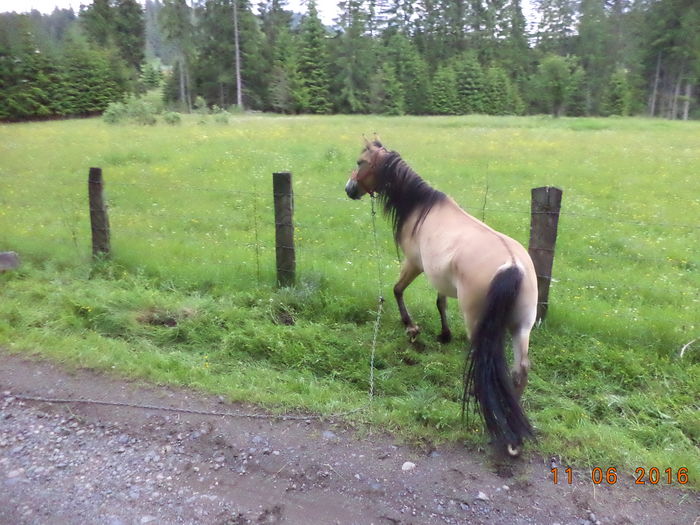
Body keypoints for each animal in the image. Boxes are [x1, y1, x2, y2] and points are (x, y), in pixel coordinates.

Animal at [344, 138, 536, 454]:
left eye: (361, 162)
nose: (349, 188)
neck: (422, 207)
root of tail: (512, 265)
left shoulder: (415, 264)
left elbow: (397, 290)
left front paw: (411, 328)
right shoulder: (441, 278)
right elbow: (440, 302)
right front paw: (444, 334)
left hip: (480, 324)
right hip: (522, 328)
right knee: (519, 371)